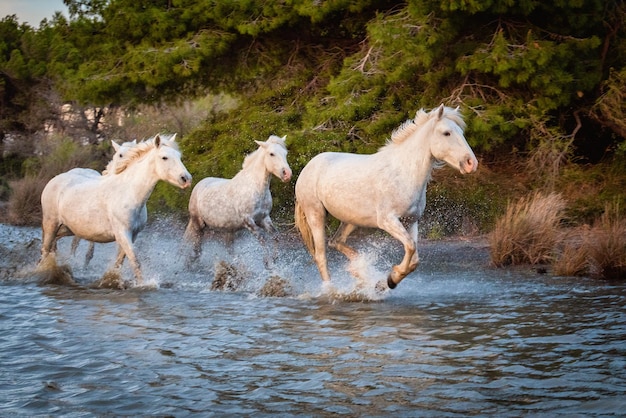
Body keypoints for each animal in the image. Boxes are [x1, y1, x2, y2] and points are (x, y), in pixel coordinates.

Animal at [40, 134, 190, 284]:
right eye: (164, 157)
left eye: (179, 156)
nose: (186, 178)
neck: (128, 192)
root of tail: (53, 180)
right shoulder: (122, 233)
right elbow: (135, 261)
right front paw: (142, 284)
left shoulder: (133, 234)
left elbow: (120, 262)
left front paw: (112, 279)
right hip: (51, 224)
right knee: (45, 250)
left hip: (67, 229)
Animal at [184, 136, 292, 266]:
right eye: (271, 154)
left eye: (285, 153)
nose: (287, 174)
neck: (254, 187)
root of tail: (198, 185)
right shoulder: (248, 221)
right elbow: (262, 239)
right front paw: (268, 263)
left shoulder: (264, 218)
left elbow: (276, 236)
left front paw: (275, 259)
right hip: (199, 226)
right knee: (197, 248)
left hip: (229, 230)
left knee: (229, 249)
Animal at [294, 103, 476, 290]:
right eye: (446, 133)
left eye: (461, 132)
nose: (471, 163)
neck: (403, 173)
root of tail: (309, 166)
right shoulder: (388, 220)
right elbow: (410, 246)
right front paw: (391, 279)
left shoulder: (411, 221)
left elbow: (415, 259)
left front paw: (387, 281)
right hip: (316, 214)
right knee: (321, 255)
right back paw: (332, 289)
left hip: (351, 220)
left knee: (336, 242)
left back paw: (359, 272)